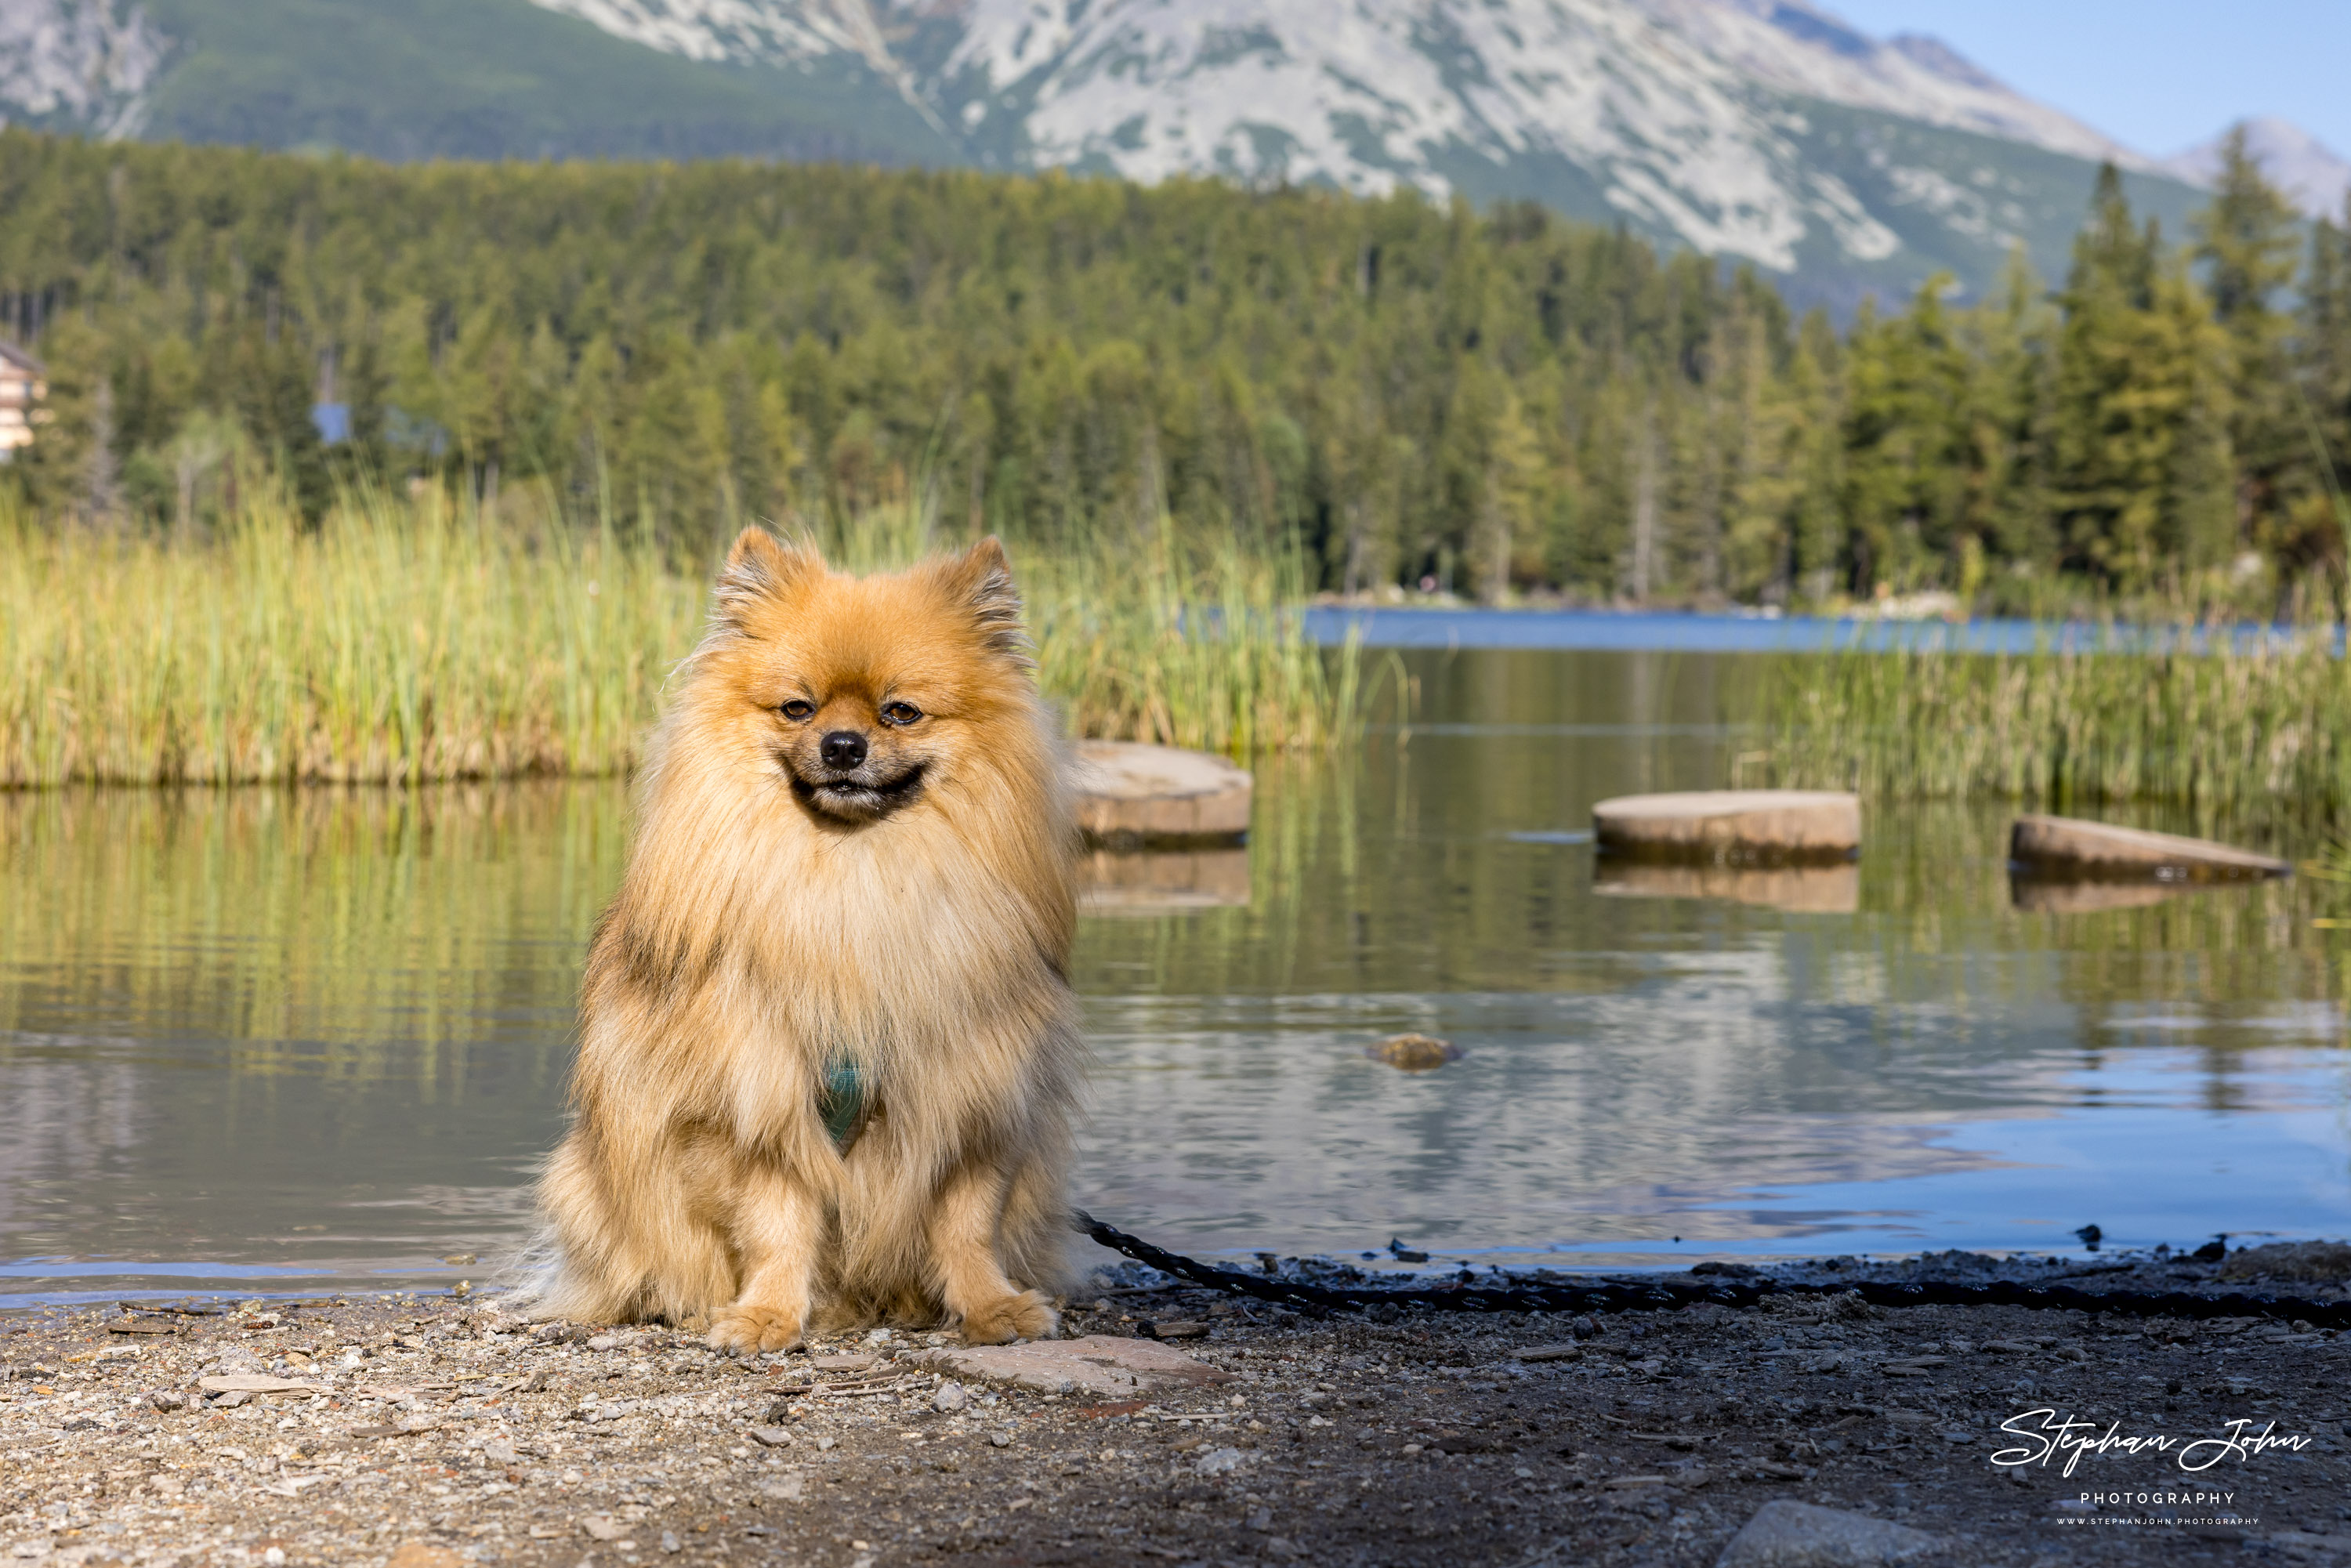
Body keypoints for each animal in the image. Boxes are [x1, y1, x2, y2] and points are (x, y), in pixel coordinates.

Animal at [538, 527, 1077, 1354]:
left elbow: (965, 1219)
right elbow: (776, 1220)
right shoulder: (756, 1098)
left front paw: (993, 1307)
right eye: (798, 707)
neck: (850, 879)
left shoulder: (973, 1087)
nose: (844, 744)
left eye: (901, 712)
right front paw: (766, 1314)